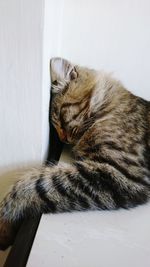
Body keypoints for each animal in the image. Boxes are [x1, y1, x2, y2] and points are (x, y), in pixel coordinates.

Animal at [0, 57, 150, 251]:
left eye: (60, 119)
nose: (63, 139)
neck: (109, 105)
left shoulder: (121, 172)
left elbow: (32, 185)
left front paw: (4, 223)